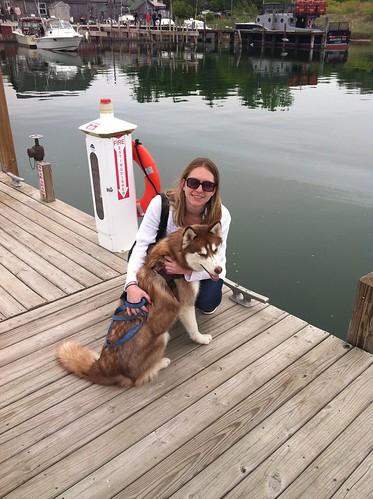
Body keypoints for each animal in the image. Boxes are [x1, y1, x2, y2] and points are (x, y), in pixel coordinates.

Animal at [56, 225, 222, 388]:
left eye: (215, 250)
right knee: (138, 378)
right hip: (162, 337)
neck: (174, 255)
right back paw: (160, 363)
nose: (219, 269)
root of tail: (103, 367)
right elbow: (193, 328)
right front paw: (201, 339)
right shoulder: (186, 304)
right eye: (202, 254)